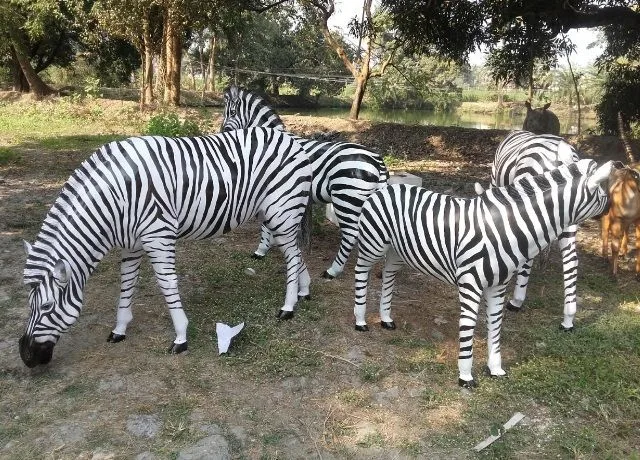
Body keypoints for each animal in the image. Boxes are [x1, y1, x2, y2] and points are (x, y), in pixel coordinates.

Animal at [19, 128, 312, 368]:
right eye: (30, 305)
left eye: (46, 306)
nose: (25, 356)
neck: (116, 197)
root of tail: (292, 139)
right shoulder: (131, 243)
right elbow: (126, 284)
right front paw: (119, 329)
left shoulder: (158, 235)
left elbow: (167, 283)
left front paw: (181, 337)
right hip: (275, 214)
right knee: (295, 253)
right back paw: (303, 290)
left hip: (282, 210)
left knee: (291, 256)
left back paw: (288, 307)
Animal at [221, 86, 388, 279]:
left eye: (232, 112)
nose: (221, 132)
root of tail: (376, 158)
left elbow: (264, 226)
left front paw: (260, 251)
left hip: (346, 197)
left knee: (350, 235)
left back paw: (333, 270)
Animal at [353, 159, 614, 388]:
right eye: (602, 192)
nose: (611, 209)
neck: (505, 229)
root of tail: (386, 186)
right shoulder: (470, 285)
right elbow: (468, 327)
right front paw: (465, 376)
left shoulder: (498, 285)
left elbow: (495, 326)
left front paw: (495, 368)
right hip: (373, 243)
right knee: (361, 271)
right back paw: (360, 320)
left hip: (398, 250)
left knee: (388, 275)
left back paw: (386, 318)